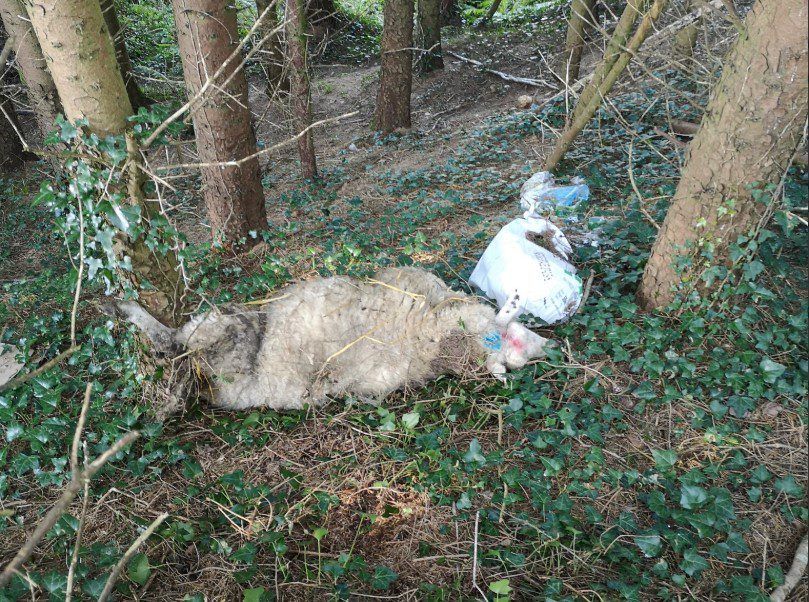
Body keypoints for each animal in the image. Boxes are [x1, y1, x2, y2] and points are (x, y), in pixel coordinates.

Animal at [110, 267, 554, 410]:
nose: (549, 346)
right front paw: (514, 302)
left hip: (226, 343)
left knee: (176, 346)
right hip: (226, 326)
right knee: (177, 342)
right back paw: (127, 307)